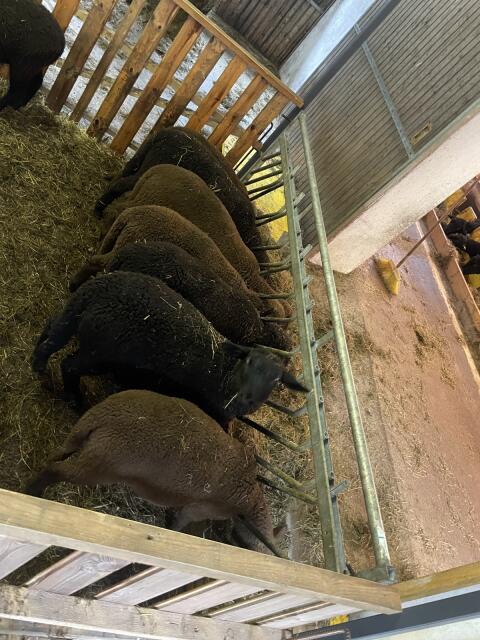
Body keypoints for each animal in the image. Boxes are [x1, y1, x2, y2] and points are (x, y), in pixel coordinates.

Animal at [24, 390, 277, 554]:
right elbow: (180, 522)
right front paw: (172, 532)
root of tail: (104, 419)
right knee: (56, 469)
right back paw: (32, 492)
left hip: (79, 435)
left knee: (56, 455)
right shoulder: (198, 509)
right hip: (98, 466)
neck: (248, 494)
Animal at [33, 271, 307, 426]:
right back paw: (74, 400)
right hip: (98, 352)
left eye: (276, 380)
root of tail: (98, 291)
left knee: (52, 330)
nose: (246, 397)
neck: (224, 373)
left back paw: (38, 364)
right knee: (68, 365)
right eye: (249, 362)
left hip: (76, 319)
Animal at [94, 126, 264, 253]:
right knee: (120, 185)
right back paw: (97, 210)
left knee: (122, 174)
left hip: (140, 158)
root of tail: (164, 134)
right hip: (148, 166)